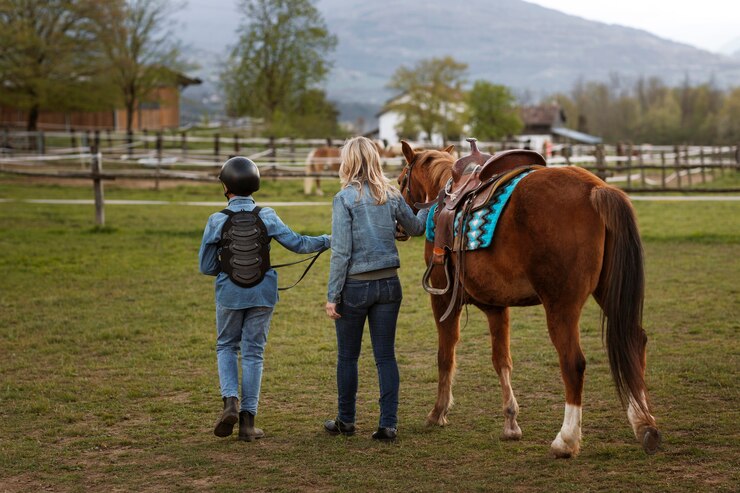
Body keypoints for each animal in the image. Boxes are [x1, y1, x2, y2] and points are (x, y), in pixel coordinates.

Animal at [398, 140, 664, 456]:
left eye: (401, 180)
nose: (399, 227)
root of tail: (595, 189)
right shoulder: (497, 306)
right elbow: (501, 360)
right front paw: (510, 423)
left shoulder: (443, 299)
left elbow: (445, 356)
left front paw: (438, 413)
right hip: (609, 292)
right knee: (634, 340)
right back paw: (644, 424)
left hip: (560, 305)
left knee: (573, 362)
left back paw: (566, 440)